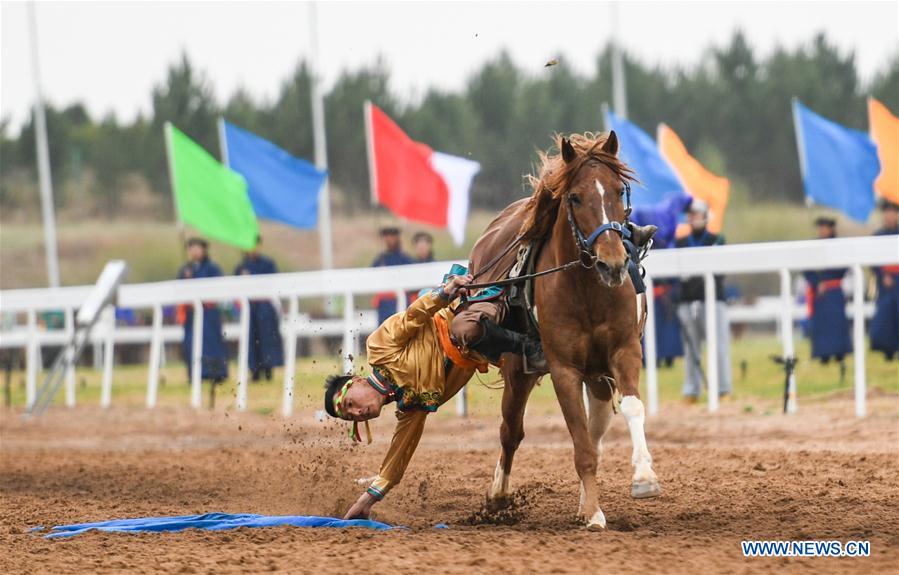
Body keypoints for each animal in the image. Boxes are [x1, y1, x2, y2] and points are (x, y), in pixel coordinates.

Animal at [472, 130, 660, 532]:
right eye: (575, 197)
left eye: (619, 191)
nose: (613, 263)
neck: (588, 288)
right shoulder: (564, 370)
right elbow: (579, 443)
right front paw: (593, 514)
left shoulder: (624, 351)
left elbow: (630, 409)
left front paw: (643, 478)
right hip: (518, 371)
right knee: (511, 431)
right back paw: (498, 496)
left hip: (599, 378)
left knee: (596, 428)